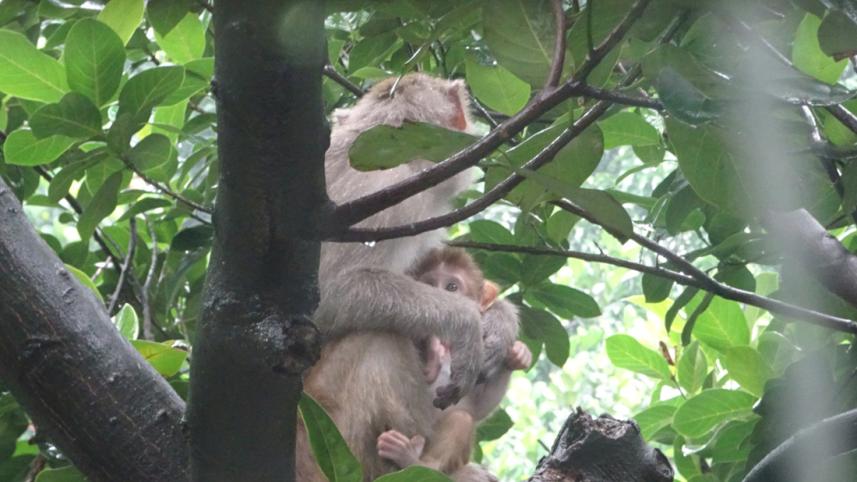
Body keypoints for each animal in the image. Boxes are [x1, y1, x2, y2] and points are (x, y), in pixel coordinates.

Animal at [376, 248, 532, 481]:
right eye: (430, 285)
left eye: (452, 287)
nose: (439, 298)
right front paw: (433, 349)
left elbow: (476, 407)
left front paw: (516, 355)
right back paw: (410, 459)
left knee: (461, 418)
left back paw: (415, 460)